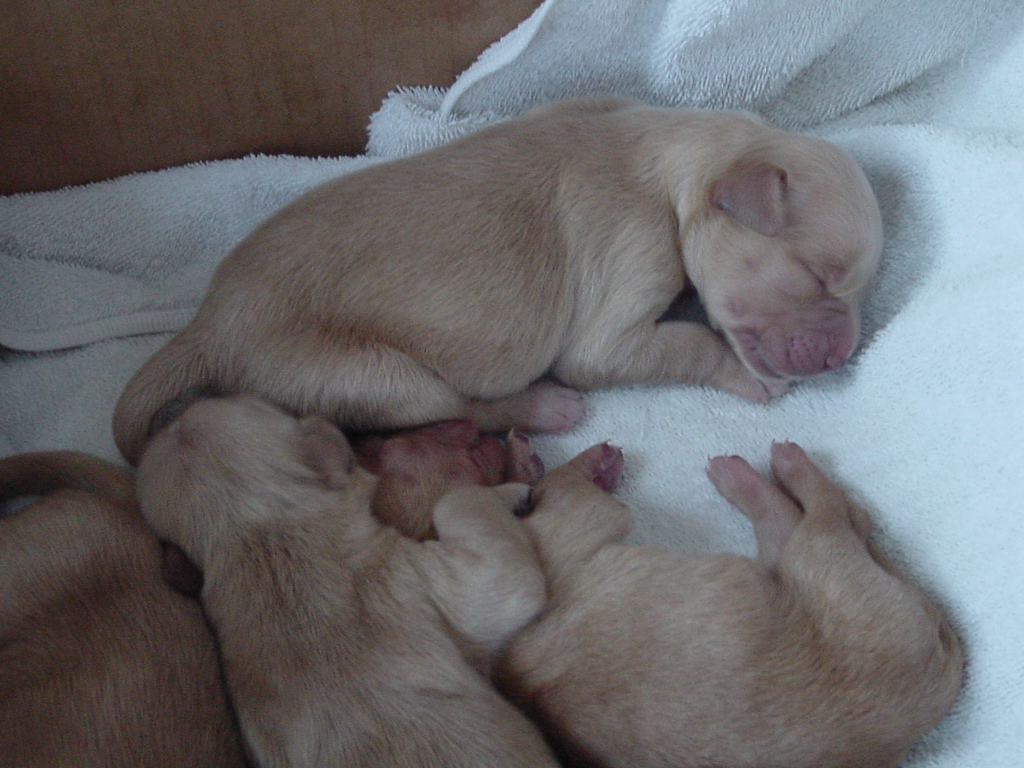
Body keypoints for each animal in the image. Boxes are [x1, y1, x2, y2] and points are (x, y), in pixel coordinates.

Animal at [110, 99, 880, 466]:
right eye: (817, 275)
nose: (843, 356)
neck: (676, 157)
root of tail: (208, 323)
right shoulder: (625, 278)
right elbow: (677, 346)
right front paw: (751, 379)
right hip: (366, 373)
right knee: (459, 407)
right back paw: (546, 407)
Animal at [499, 442, 962, 765]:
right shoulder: (581, 514)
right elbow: (563, 478)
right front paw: (584, 462)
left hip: (794, 566)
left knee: (816, 517)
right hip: (819, 556)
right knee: (833, 511)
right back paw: (771, 466)